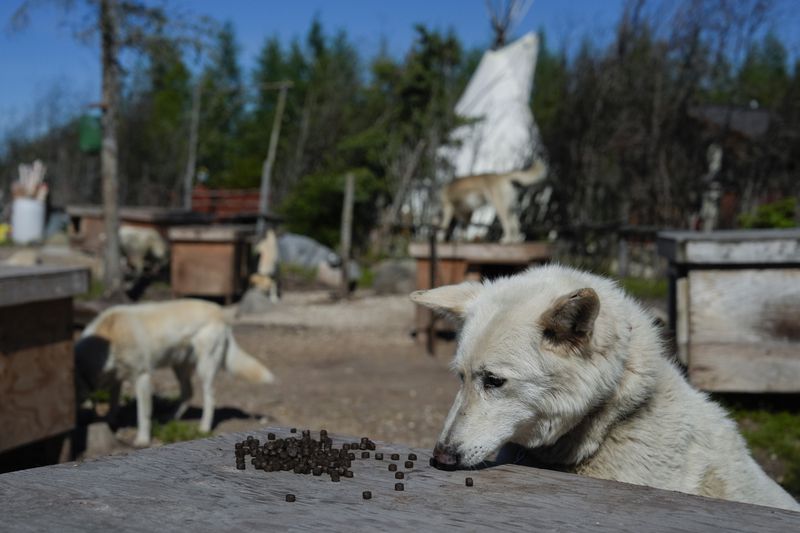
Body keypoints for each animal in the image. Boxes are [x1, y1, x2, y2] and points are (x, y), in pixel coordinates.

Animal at [76, 300, 276, 444]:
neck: (109, 339)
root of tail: (220, 313)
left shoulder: (142, 377)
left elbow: (143, 414)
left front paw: (142, 439)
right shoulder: (117, 380)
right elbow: (113, 403)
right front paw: (110, 420)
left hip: (204, 368)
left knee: (209, 397)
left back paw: (204, 427)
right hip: (179, 367)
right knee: (188, 393)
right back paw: (171, 417)